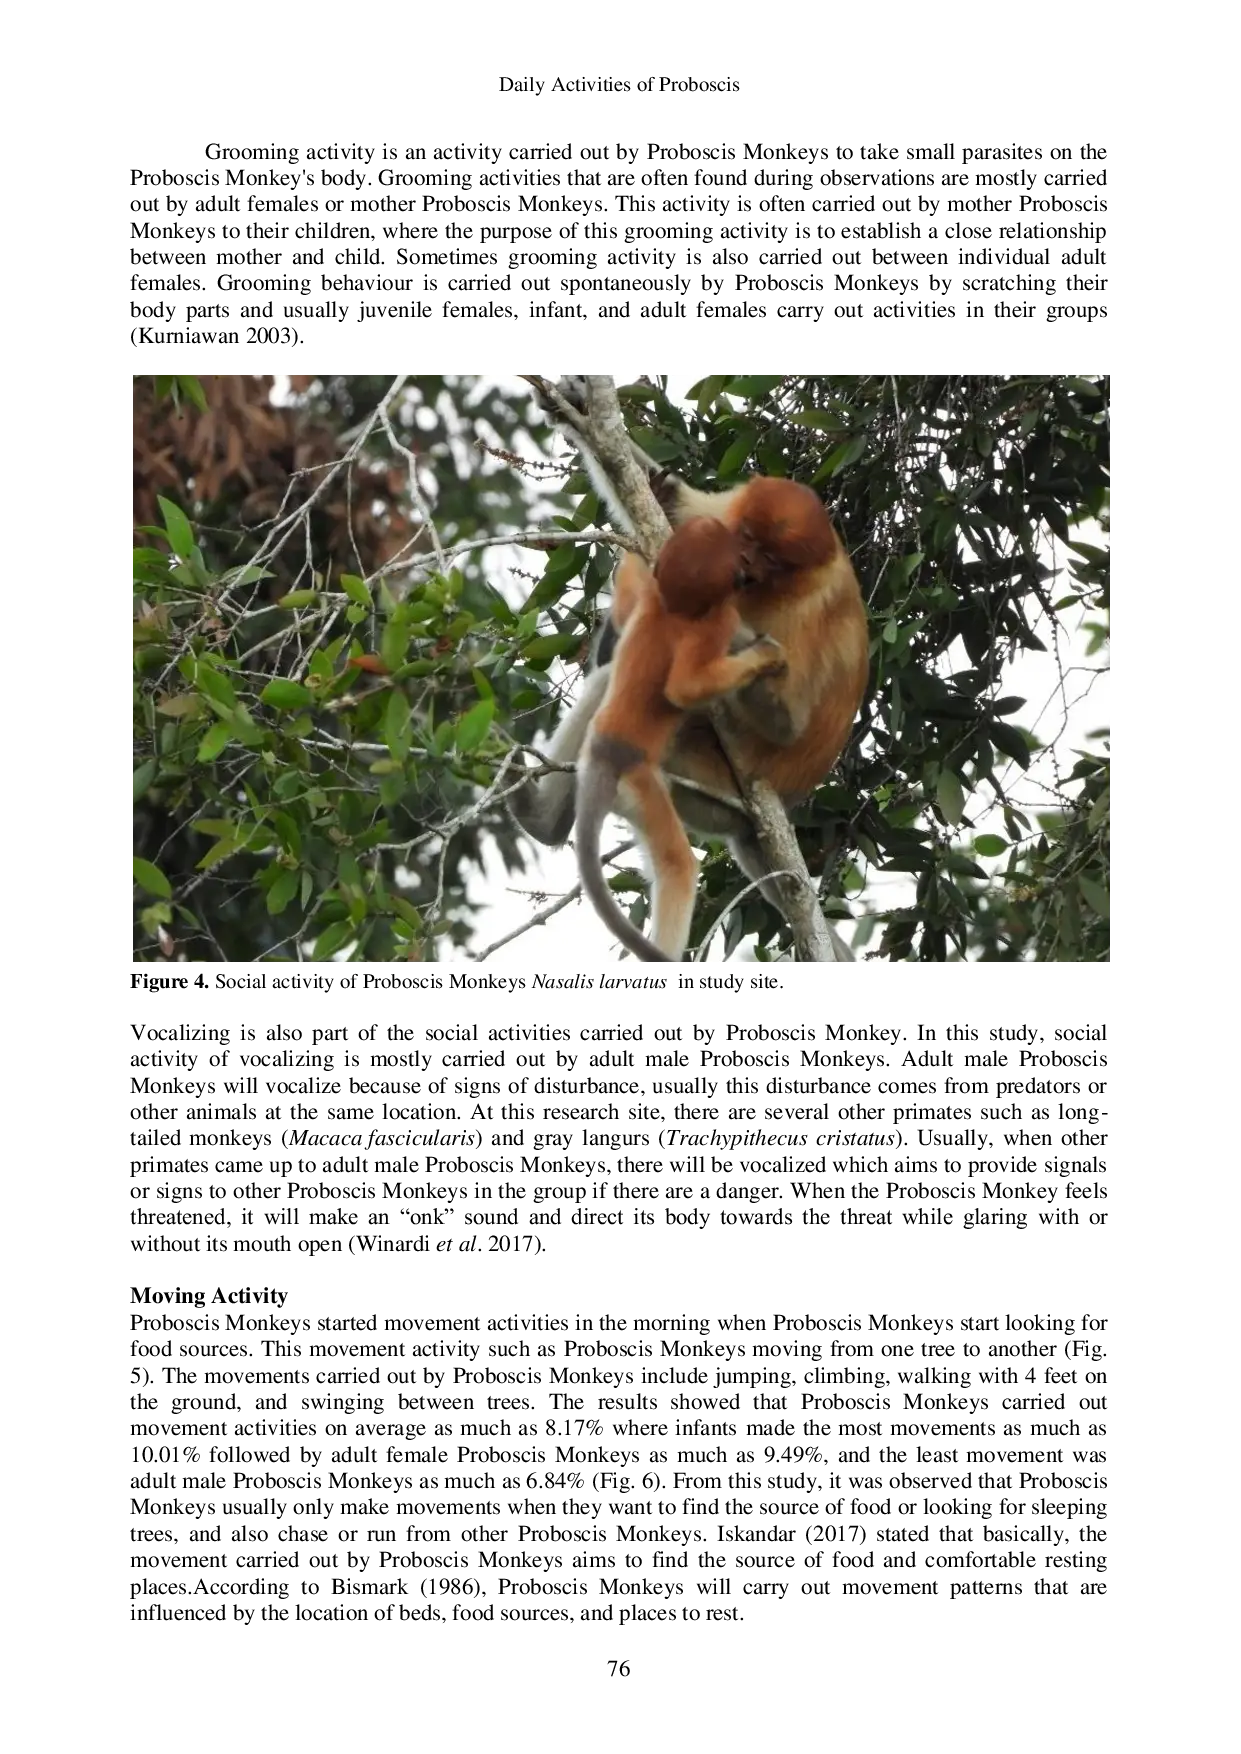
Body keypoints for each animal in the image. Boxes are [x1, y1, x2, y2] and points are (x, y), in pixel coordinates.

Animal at [575, 516, 788, 966]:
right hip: (639, 786)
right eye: (737, 557)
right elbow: (684, 689)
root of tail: (606, 753)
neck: (672, 605)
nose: (746, 571)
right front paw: (765, 656)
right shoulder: (715, 620)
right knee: (678, 865)